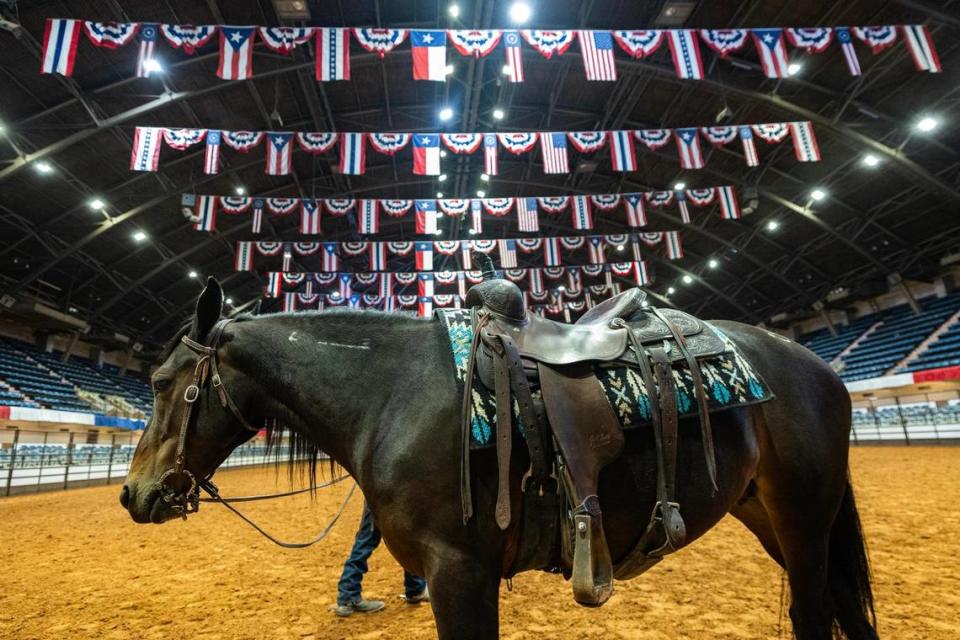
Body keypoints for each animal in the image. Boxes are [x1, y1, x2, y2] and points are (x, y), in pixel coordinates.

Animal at [120, 280, 876, 640]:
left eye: (159, 382)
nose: (132, 493)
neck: (393, 391)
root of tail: (819, 366)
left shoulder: (461, 572)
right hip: (770, 517)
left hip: (805, 521)